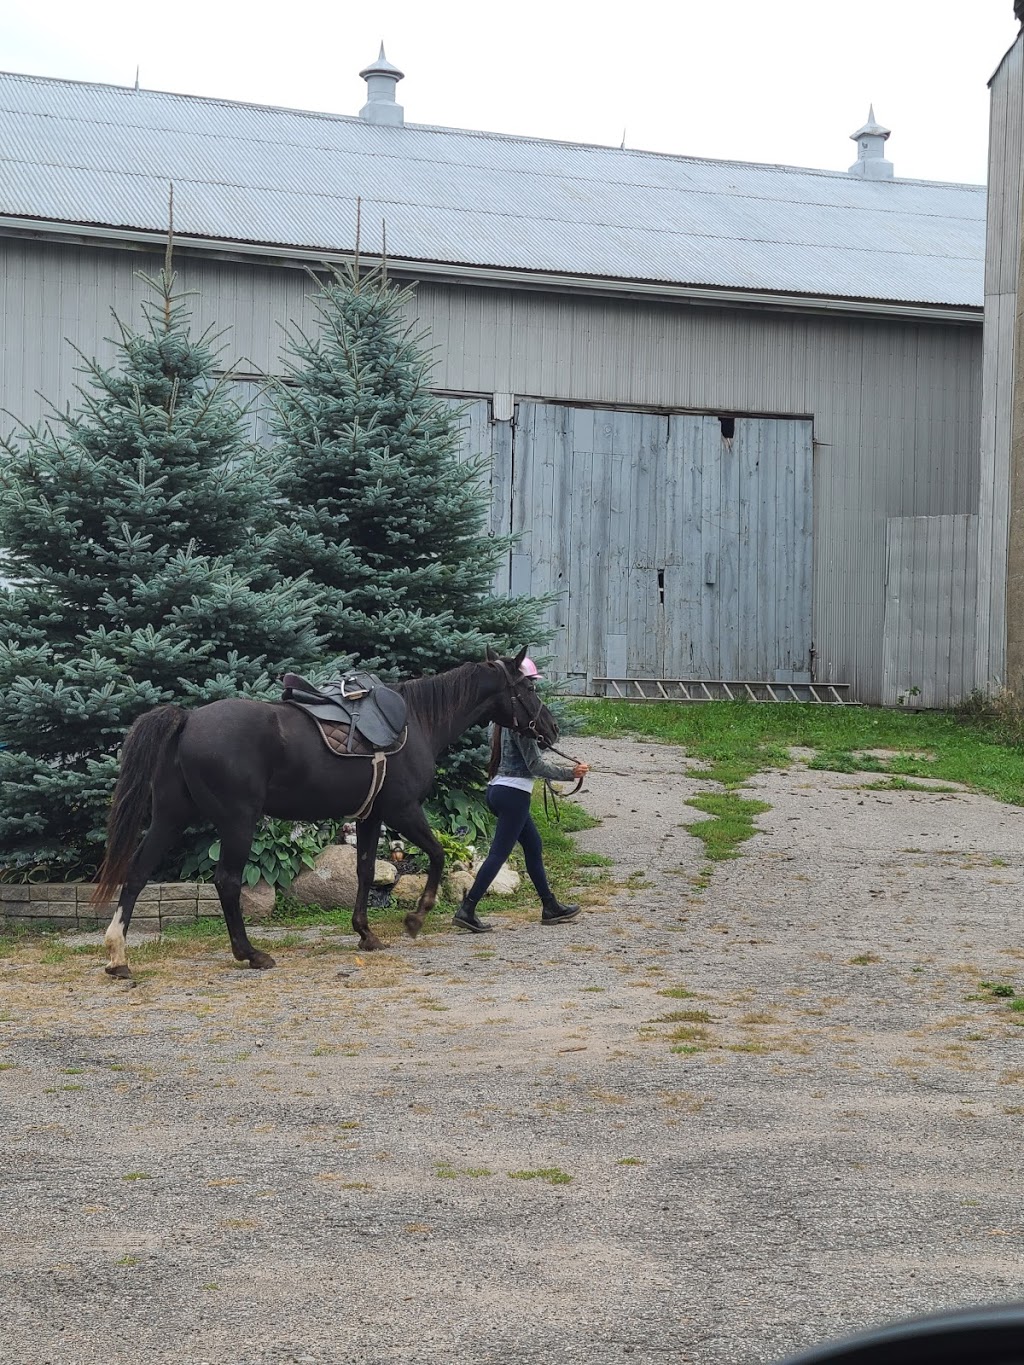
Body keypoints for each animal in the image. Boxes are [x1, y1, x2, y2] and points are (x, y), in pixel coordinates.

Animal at [94, 649, 562, 982]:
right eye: (529, 689)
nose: (551, 728)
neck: (417, 721)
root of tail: (188, 719)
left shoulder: (372, 817)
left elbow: (366, 870)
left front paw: (366, 933)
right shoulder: (404, 810)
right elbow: (436, 855)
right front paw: (415, 919)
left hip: (170, 817)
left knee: (137, 874)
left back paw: (119, 956)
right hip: (237, 823)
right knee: (226, 882)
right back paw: (250, 953)